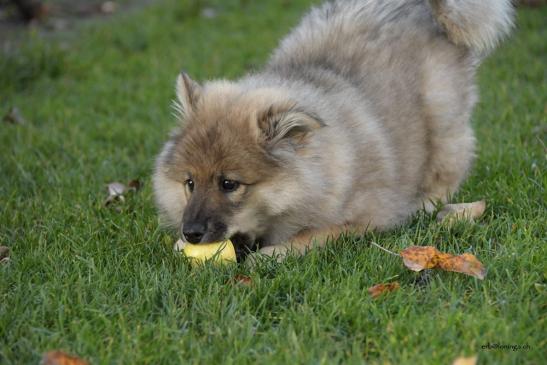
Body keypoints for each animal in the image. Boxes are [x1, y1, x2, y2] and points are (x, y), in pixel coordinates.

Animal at [153, 1, 512, 260]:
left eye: (229, 184)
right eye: (189, 183)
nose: (191, 233)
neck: (318, 168)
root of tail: (424, 8)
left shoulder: (364, 218)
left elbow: (309, 236)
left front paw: (271, 254)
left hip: (443, 122)